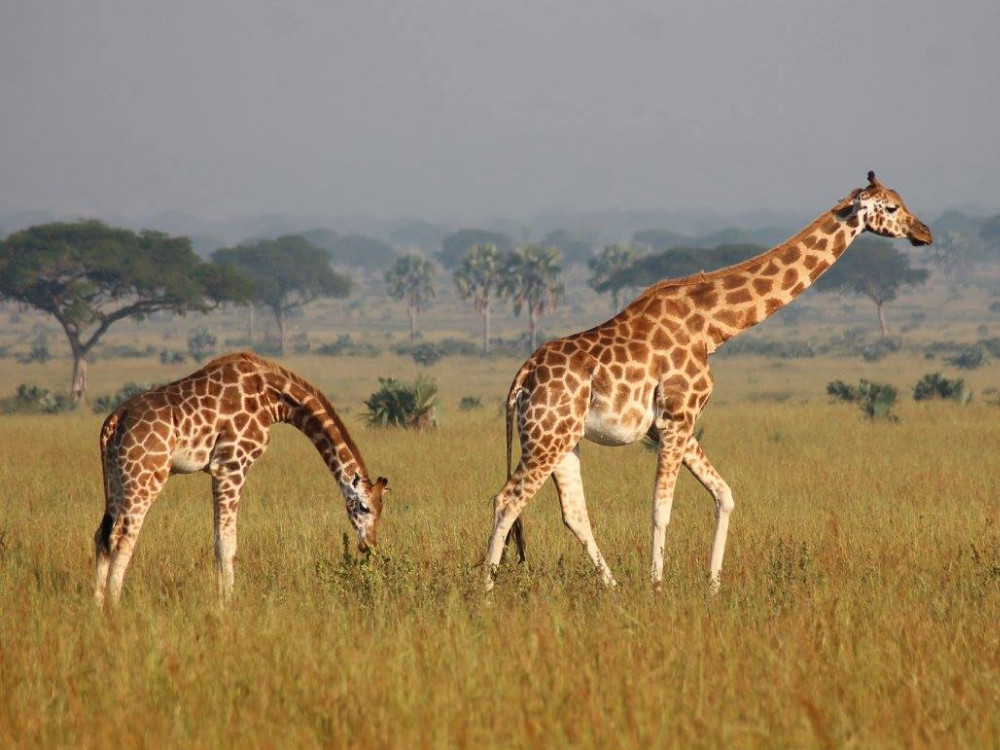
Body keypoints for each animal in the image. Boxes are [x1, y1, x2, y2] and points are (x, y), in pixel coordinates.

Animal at [94, 351, 388, 607]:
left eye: (380, 511)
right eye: (364, 507)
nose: (369, 545)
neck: (273, 398)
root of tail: (113, 422)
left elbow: (220, 541)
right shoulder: (232, 464)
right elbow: (227, 543)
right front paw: (227, 604)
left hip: (115, 479)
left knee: (102, 535)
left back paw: (96, 606)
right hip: (146, 476)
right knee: (122, 536)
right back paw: (114, 606)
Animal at [484, 172, 931, 591]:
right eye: (891, 207)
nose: (923, 232)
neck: (713, 327)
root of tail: (523, 376)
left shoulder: (673, 424)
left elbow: (725, 495)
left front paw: (713, 583)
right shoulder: (676, 419)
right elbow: (661, 509)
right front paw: (657, 586)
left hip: (563, 437)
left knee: (573, 513)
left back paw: (611, 588)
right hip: (547, 435)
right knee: (506, 500)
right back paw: (486, 589)